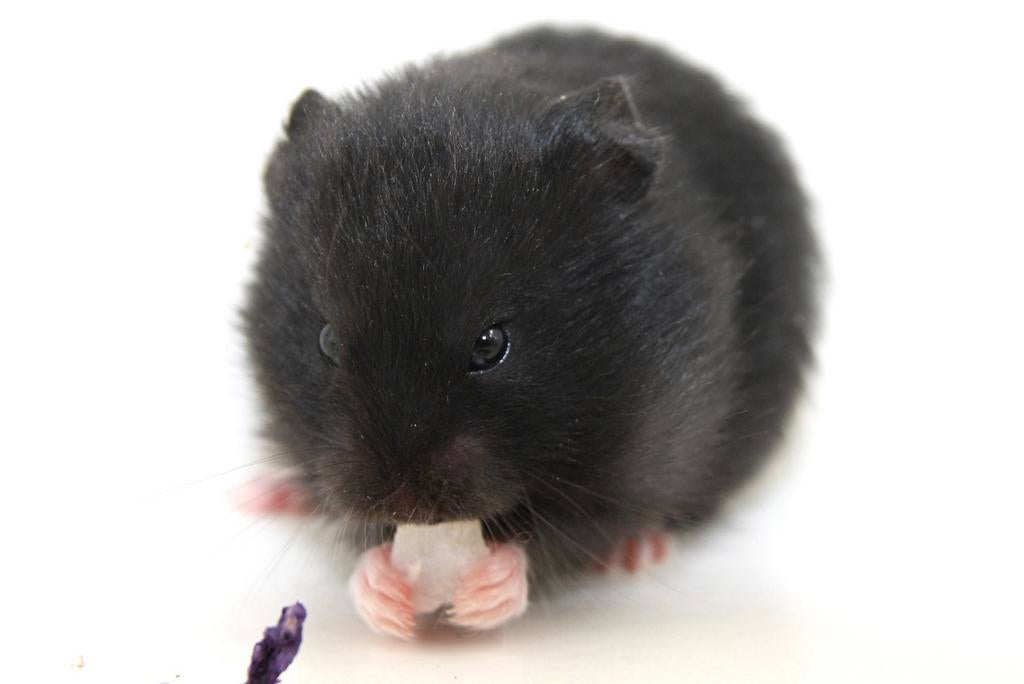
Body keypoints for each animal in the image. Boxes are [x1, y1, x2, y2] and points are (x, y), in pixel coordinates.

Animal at [242, 26, 818, 637]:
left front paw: (482, 596)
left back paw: (641, 551)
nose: (405, 505)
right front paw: (387, 602)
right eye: (327, 341)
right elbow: (350, 532)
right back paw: (269, 492)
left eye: (491, 345)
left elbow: (574, 533)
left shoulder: (648, 445)